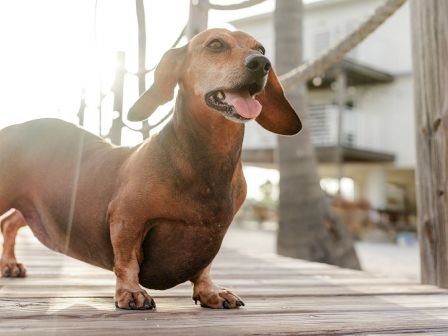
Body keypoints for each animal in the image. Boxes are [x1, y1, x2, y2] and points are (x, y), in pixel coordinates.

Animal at [0, 28, 300, 310]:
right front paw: (131, 292)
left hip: (36, 205)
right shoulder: (126, 218)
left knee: (10, 222)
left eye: (260, 48)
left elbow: (205, 268)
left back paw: (10, 264)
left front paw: (211, 292)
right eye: (216, 44)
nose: (261, 63)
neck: (205, 160)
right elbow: (126, 261)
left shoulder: (216, 233)